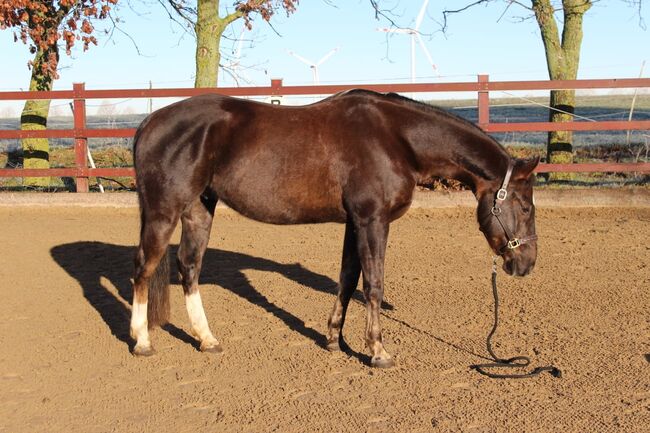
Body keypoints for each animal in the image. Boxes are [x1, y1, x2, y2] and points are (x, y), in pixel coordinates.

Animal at [128, 89, 536, 366]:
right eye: (526, 206)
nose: (527, 263)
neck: (395, 138)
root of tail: (149, 122)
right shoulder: (372, 220)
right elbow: (373, 284)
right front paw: (378, 350)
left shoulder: (354, 223)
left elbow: (348, 279)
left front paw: (333, 340)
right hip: (164, 211)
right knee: (144, 269)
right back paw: (142, 341)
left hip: (199, 209)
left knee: (189, 267)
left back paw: (207, 339)